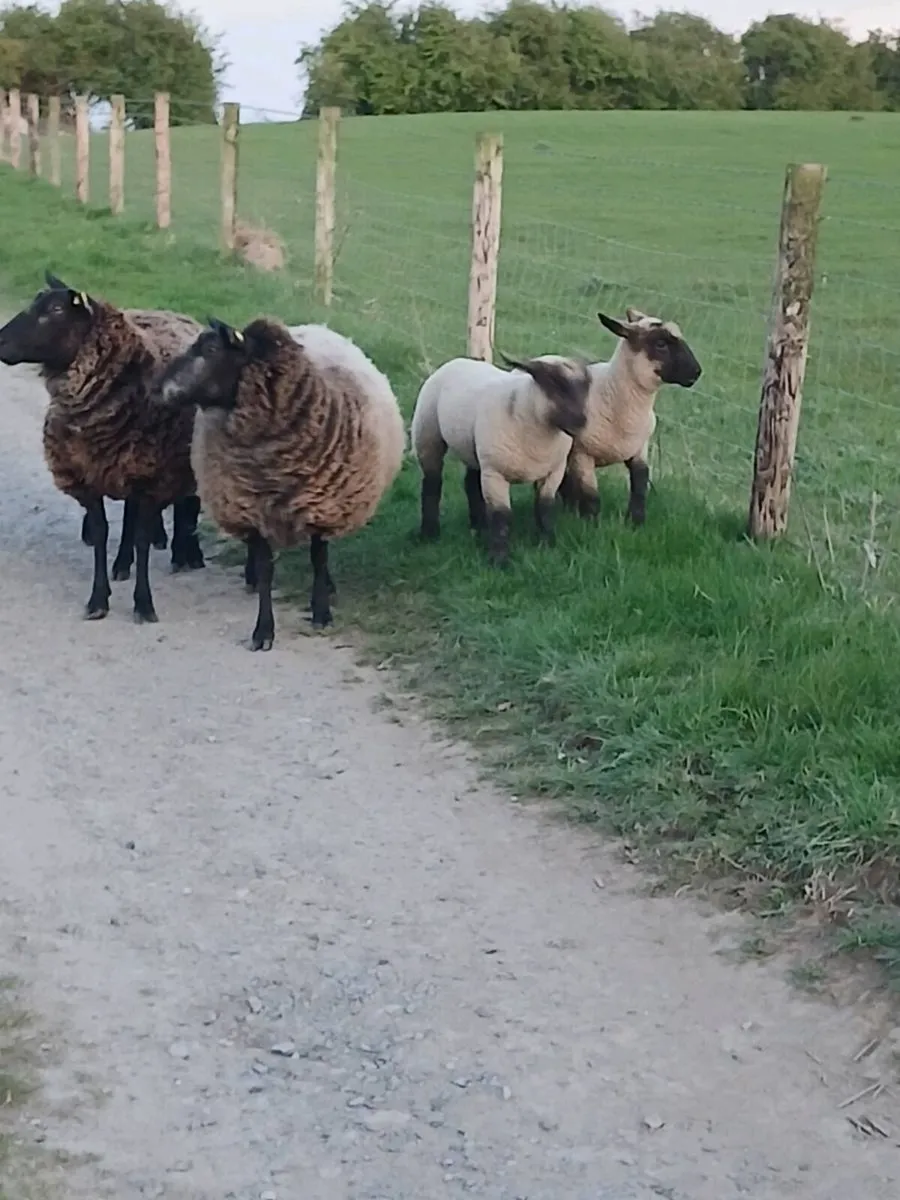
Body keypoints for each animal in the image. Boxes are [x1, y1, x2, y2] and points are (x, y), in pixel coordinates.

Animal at [0, 273, 205, 624]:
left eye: (55, 310)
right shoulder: (87, 476)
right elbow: (100, 533)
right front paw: (98, 600)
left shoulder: (150, 477)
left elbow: (141, 540)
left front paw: (144, 604)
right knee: (131, 515)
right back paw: (122, 563)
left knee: (182, 505)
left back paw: (183, 553)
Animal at [156, 315, 406, 651]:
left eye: (210, 349)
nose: (157, 387)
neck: (272, 464)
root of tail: (316, 326)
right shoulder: (250, 508)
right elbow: (265, 568)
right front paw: (263, 630)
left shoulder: (322, 505)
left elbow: (318, 558)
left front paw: (321, 611)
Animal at [409, 351, 593, 566]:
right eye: (552, 382)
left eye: (586, 386)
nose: (582, 422)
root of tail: (458, 361)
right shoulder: (496, 474)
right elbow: (501, 516)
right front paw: (499, 560)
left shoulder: (553, 472)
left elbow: (545, 508)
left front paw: (548, 543)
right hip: (428, 435)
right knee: (432, 484)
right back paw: (429, 533)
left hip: (475, 450)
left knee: (471, 484)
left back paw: (479, 527)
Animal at [557, 308, 702, 525]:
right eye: (660, 344)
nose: (696, 372)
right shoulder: (582, 455)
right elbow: (591, 497)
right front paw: (592, 525)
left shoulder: (639, 449)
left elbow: (640, 487)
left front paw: (636, 522)